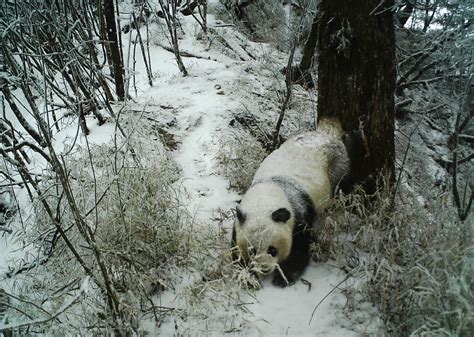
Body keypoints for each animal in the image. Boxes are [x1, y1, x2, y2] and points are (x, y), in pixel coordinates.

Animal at [231, 117, 350, 286]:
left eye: (272, 250)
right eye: (252, 250)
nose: (264, 268)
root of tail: (327, 132)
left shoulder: (298, 212)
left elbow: (301, 246)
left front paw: (283, 278)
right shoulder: (241, 219)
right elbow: (236, 251)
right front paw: (248, 277)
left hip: (338, 167)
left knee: (342, 189)